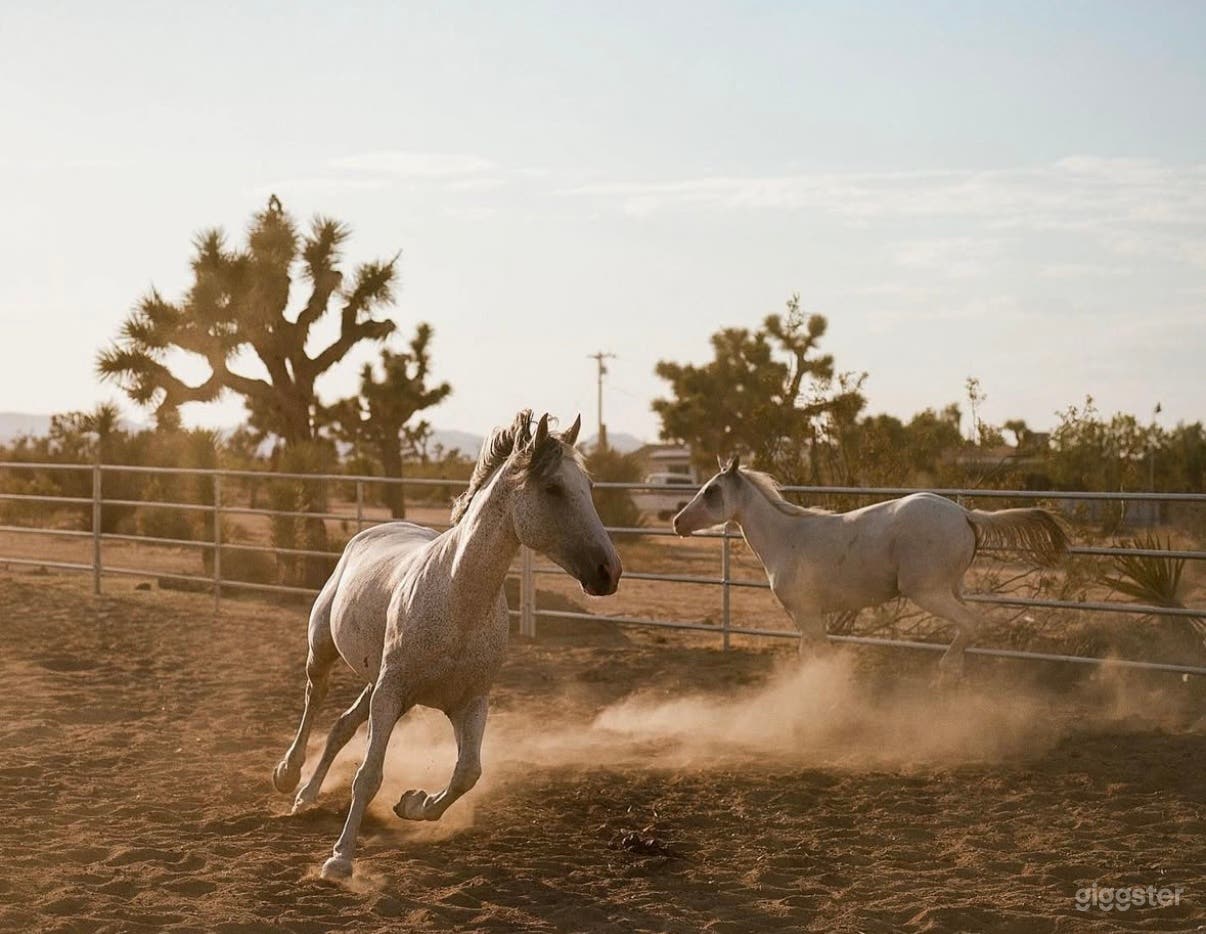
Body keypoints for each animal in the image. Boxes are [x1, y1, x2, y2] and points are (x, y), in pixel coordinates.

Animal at [272, 410, 622, 880]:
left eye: (589, 486)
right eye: (553, 487)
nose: (609, 571)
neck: (459, 599)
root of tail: (372, 532)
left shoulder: (468, 702)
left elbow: (467, 773)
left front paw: (413, 804)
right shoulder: (392, 693)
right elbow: (369, 775)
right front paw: (340, 859)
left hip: (374, 681)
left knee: (342, 726)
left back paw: (307, 795)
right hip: (326, 652)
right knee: (315, 698)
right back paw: (288, 776)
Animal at [672, 457, 1066, 676]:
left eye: (710, 490)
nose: (677, 522)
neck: (787, 537)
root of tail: (965, 513)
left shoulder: (807, 613)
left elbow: (821, 656)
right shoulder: (805, 616)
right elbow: (808, 656)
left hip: (927, 591)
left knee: (972, 622)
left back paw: (944, 674)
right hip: (951, 588)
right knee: (969, 625)